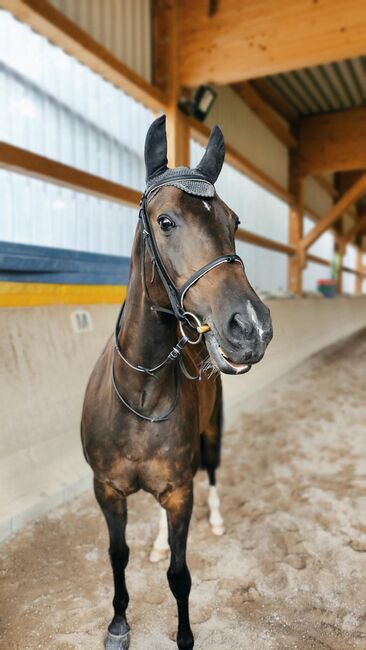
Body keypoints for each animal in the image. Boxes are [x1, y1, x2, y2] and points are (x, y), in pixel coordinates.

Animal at [81, 114, 274, 644]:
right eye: (166, 221)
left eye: (233, 221)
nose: (251, 327)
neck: (142, 395)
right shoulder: (107, 490)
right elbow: (118, 556)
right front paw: (118, 624)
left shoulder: (180, 493)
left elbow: (180, 576)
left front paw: (185, 636)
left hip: (212, 434)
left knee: (213, 470)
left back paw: (217, 519)